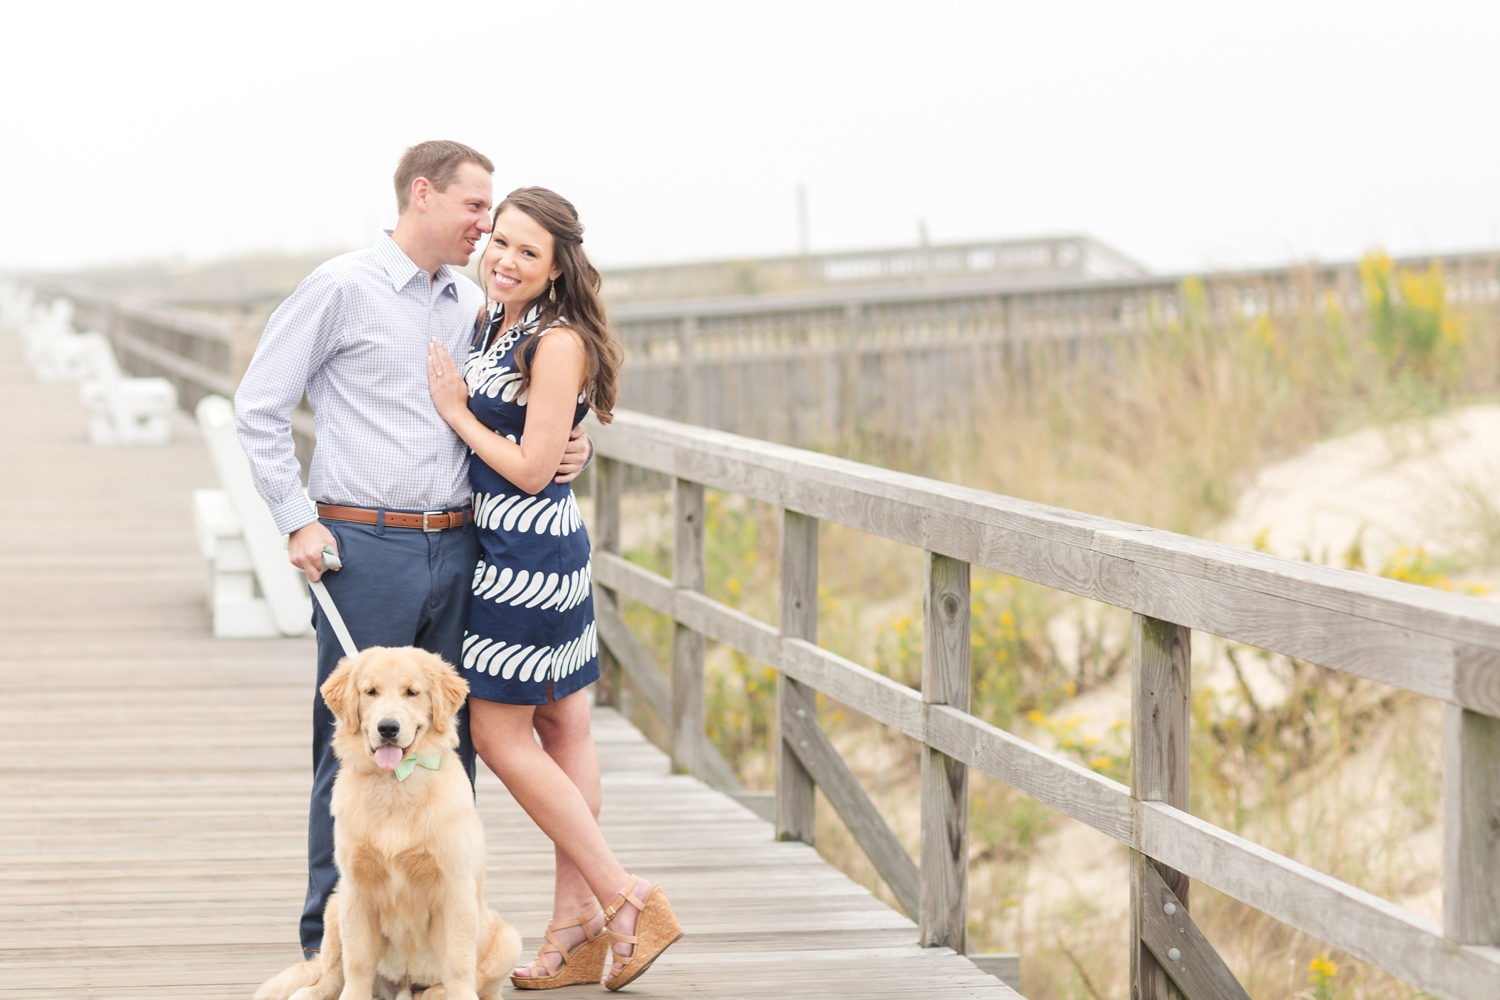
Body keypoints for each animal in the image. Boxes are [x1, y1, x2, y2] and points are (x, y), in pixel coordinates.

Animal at [264, 644, 528, 995]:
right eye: (371, 692)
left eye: (411, 692)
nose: (387, 728)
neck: (395, 785)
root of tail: (404, 988)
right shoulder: (356, 890)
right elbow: (357, 963)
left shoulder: (455, 889)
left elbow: (458, 964)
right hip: (334, 905)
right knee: (330, 973)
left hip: (507, 939)